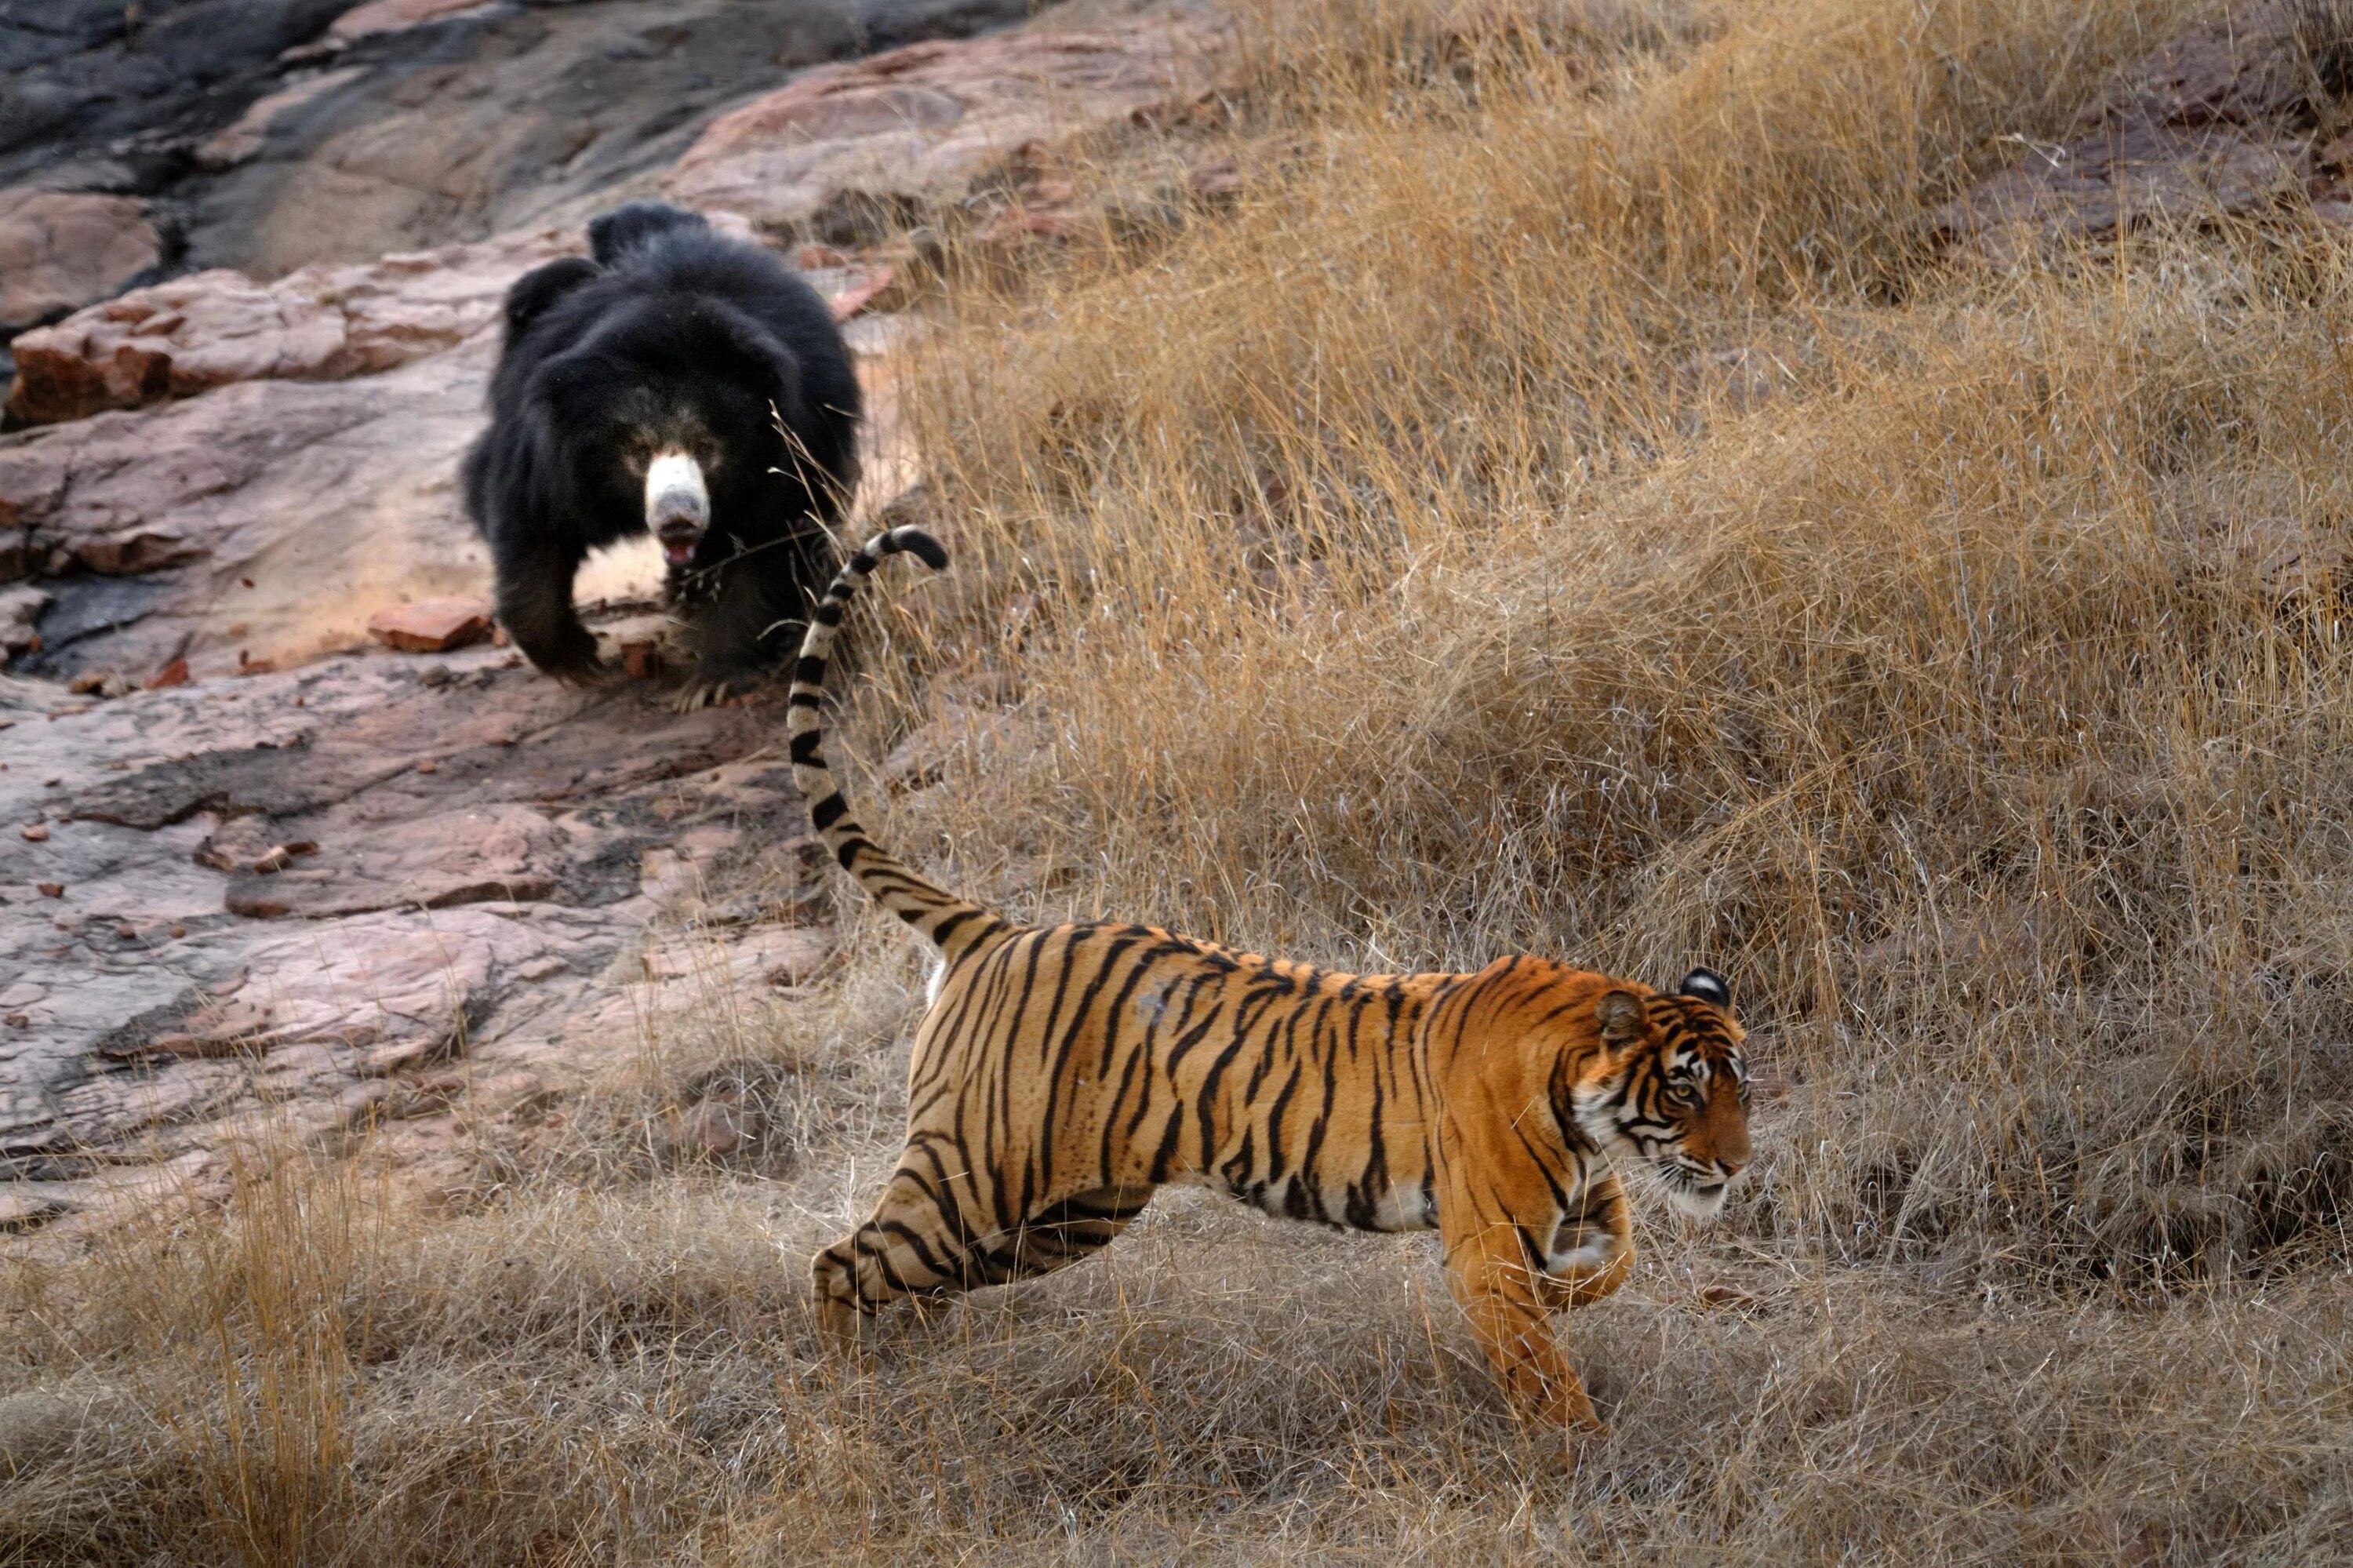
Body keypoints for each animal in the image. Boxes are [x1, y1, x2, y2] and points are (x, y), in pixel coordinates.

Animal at [464, 201, 861, 706]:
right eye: (638, 450)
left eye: (707, 447)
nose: (678, 520)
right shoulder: (549, 451)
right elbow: (534, 529)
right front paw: (576, 664)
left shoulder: (797, 441)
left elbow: (768, 544)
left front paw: (715, 679)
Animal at [791, 527, 1751, 1431]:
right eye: (1685, 1090)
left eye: (1742, 1089)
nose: (1738, 1166)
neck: (1583, 1104)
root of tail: (996, 928)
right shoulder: (1488, 1238)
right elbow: (1538, 1364)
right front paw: (1576, 1448)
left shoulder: (1584, 1201)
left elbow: (1617, 1262)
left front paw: (1570, 1296)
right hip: (975, 1175)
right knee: (840, 1262)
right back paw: (846, 1391)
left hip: (1069, 1214)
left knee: (916, 1275)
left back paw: (923, 1352)